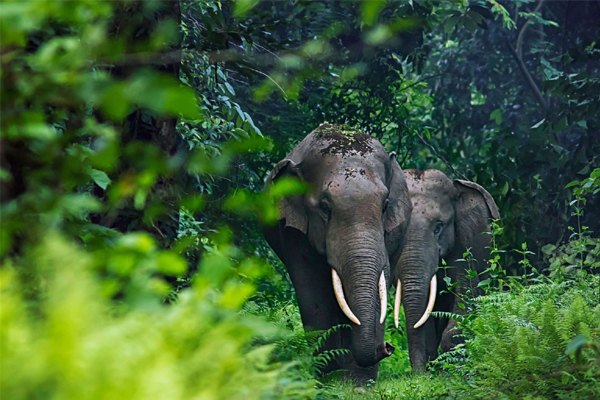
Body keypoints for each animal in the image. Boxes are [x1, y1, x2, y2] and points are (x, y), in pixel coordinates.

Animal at [263, 124, 412, 382]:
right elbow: (313, 293)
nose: (387, 347)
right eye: (325, 208)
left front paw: (359, 384)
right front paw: (328, 379)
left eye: (385, 205)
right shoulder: (292, 235)